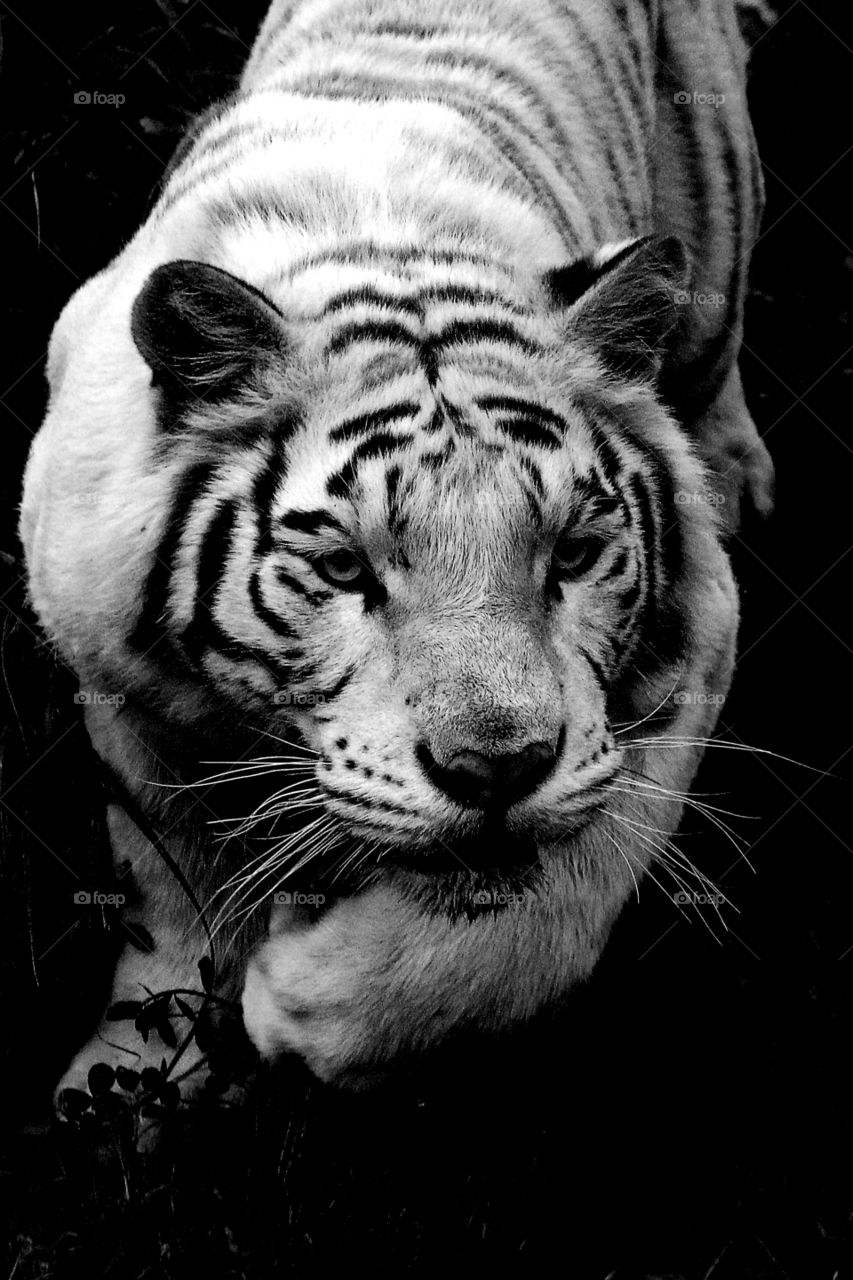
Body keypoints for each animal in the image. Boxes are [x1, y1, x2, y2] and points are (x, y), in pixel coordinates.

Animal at [19, 0, 774, 1100]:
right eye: (344, 568)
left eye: (573, 554)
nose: (496, 769)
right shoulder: (117, 676)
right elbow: (166, 883)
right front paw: (133, 1080)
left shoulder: (696, 640)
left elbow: (555, 896)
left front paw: (303, 997)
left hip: (713, 210)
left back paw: (734, 471)